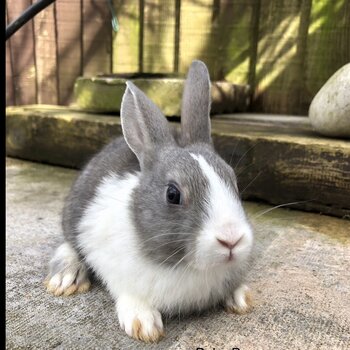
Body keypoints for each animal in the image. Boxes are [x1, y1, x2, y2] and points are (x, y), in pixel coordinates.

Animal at [45, 59, 254, 342]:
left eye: (233, 181)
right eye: (172, 194)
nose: (231, 239)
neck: (186, 267)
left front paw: (241, 297)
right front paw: (143, 324)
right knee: (68, 244)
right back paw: (65, 278)